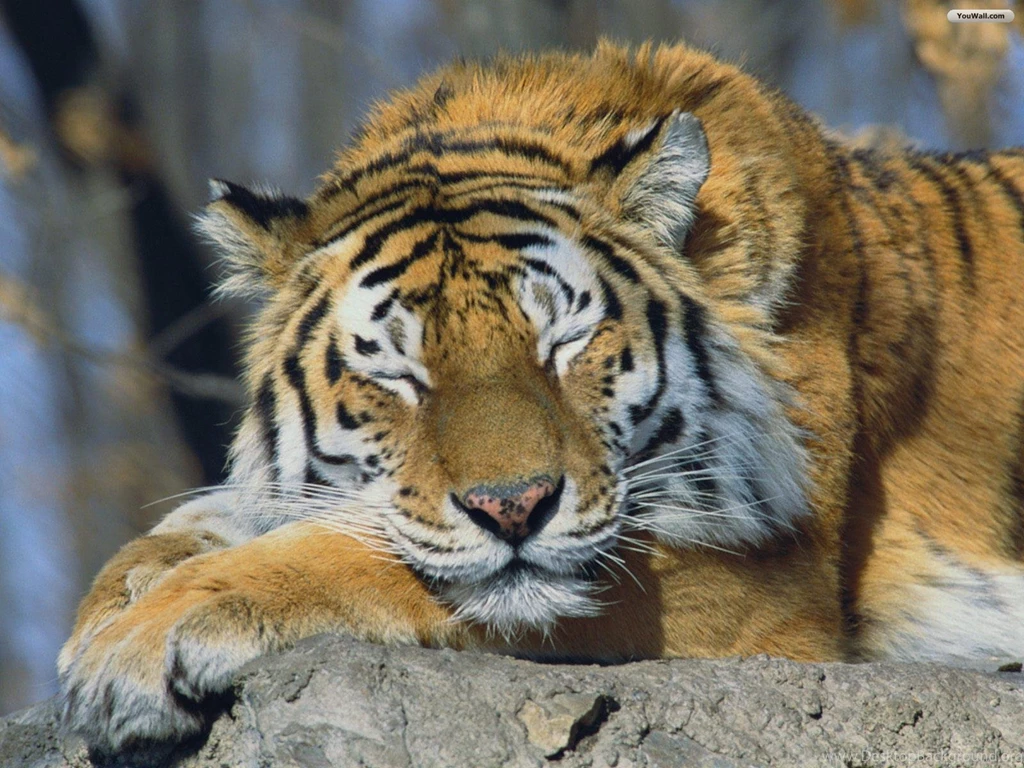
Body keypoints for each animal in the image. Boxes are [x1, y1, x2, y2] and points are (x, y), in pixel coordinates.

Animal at [57, 41, 1024, 758]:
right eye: (400, 374)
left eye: (562, 346)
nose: (512, 507)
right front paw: (115, 603)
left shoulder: (765, 585)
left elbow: (357, 556)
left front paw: (139, 644)